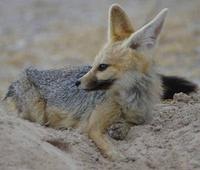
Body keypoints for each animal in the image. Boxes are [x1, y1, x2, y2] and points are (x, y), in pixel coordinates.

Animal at [4, 4, 197, 161]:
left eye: (102, 66)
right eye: (94, 64)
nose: (77, 83)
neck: (131, 99)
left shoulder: (143, 118)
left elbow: (133, 124)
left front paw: (121, 128)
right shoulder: (93, 126)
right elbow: (107, 146)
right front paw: (119, 157)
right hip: (37, 112)